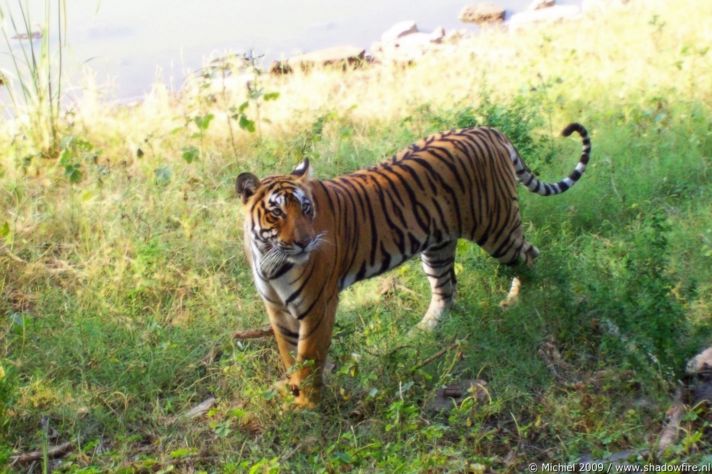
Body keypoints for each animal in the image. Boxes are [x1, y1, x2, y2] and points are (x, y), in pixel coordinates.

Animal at [236, 122, 592, 408]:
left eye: (307, 209)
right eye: (277, 212)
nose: (305, 242)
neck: (269, 256)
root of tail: (488, 130)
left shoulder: (317, 305)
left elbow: (308, 357)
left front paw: (306, 405)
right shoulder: (277, 308)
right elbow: (289, 354)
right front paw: (291, 390)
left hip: (497, 228)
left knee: (530, 256)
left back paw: (524, 298)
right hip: (437, 246)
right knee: (446, 289)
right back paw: (423, 331)